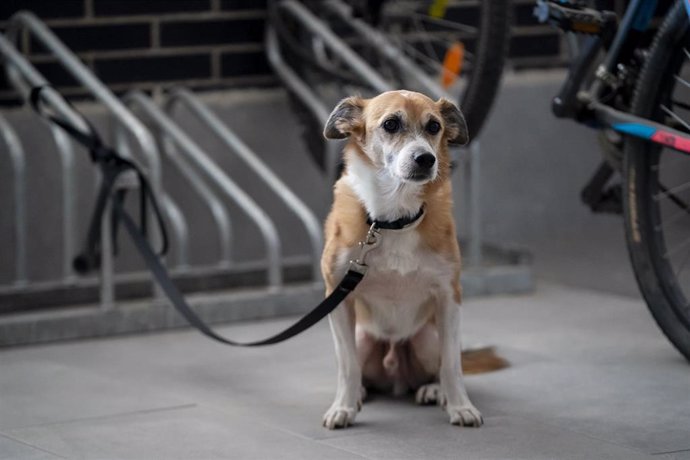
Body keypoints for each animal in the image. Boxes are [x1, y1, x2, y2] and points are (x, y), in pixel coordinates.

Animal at [320, 90, 482, 432]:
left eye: (434, 127)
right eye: (391, 124)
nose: (426, 159)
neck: (392, 220)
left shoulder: (449, 297)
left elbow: (453, 364)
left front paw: (461, 406)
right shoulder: (337, 297)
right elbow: (347, 365)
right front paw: (343, 407)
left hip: (427, 338)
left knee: (439, 365)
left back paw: (434, 390)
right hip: (362, 336)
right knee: (359, 368)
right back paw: (359, 394)